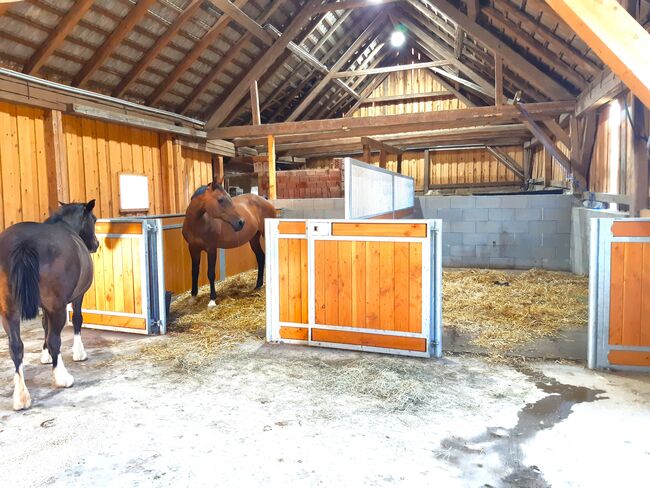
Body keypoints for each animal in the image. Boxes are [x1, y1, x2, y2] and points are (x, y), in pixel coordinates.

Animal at [0, 200, 99, 410]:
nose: (96, 244)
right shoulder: (76, 297)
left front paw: (44, 355)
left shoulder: (44, 307)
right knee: (55, 339)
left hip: (9, 310)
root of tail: (23, 243)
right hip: (58, 307)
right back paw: (63, 377)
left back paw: (21, 396)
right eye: (93, 219)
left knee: (16, 346)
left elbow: (45, 326)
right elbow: (76, 320)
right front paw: (79, 353)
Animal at [182, 179, 276, 308]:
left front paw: (212, 300)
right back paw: (258, 285)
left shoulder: (211, 249)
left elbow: (211, 273)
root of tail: (265, 200)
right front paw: (193, 297)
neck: (198, 224)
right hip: (254, 238)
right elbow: (194, 271)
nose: (241, 222)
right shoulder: (193, 248)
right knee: (261, 257)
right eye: (220, 200)